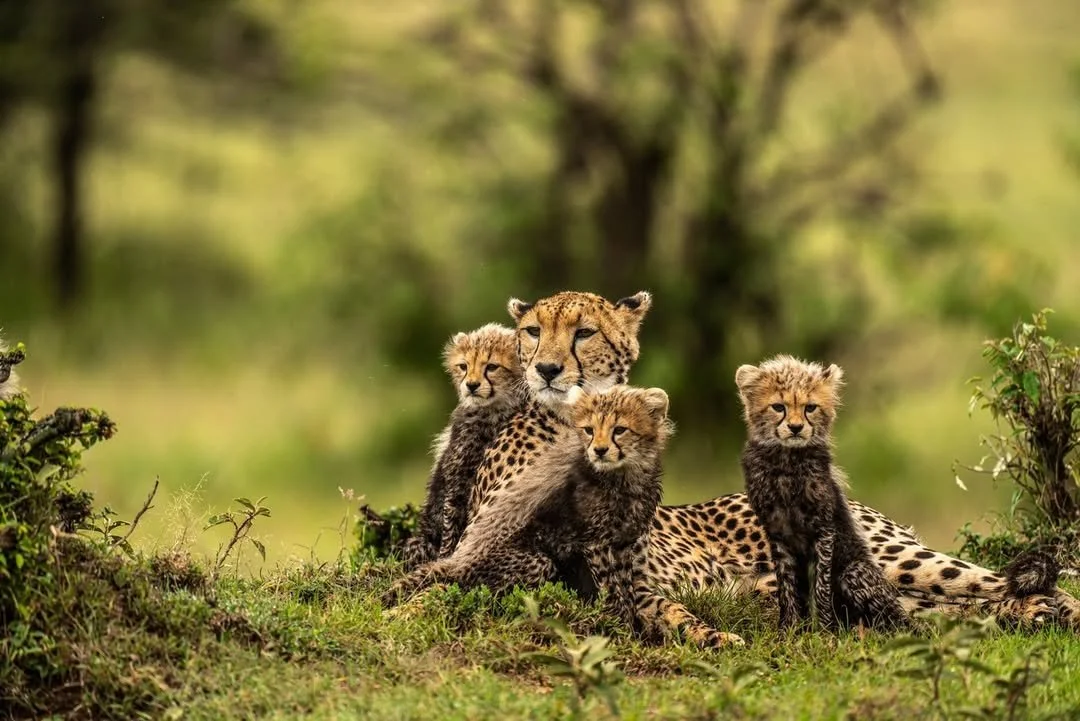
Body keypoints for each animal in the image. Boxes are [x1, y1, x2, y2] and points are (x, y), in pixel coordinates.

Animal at [402, 324, 525, 569]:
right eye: (464, 367)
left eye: (492, 367)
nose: (471, 385)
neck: (491, 413)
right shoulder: (456, 478)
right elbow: (451, 522)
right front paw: (446, 558)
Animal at [737, 355, 908, 633]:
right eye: (778, 407)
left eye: (810, 408)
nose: (796, 427)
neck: (788, 462)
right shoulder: (777, 532)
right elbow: (786, 585)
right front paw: (789, 629)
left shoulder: (824, 529)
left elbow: (821, 584)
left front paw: (825, 630)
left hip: (855, 572)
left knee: (895, 622)